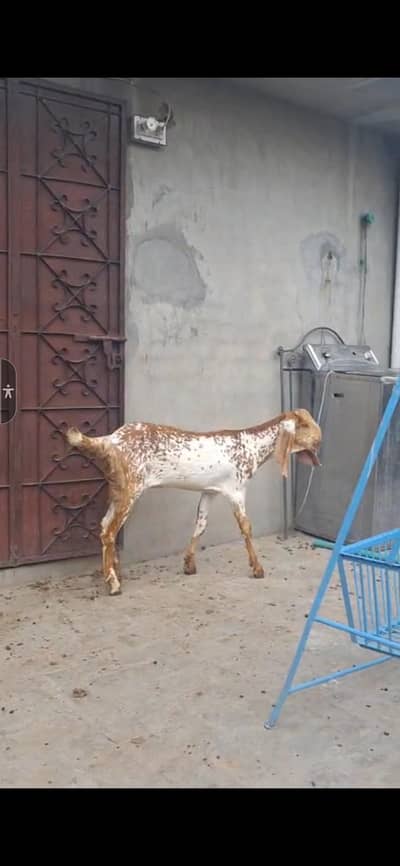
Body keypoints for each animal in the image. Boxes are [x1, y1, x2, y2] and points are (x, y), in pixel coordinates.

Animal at [65, 408, 321, 595]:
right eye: (309, 431)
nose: (320, 446)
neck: (251, 445)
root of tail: (110, 440)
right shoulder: (236, 491)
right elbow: (246, 527)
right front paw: (257, 568)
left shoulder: (210, 491)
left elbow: (201, 524)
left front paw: (189, 564)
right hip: (130, 489)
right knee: (110, 531)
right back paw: (113, 583)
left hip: (118, 490)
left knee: (103, 526)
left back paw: (114, 572)